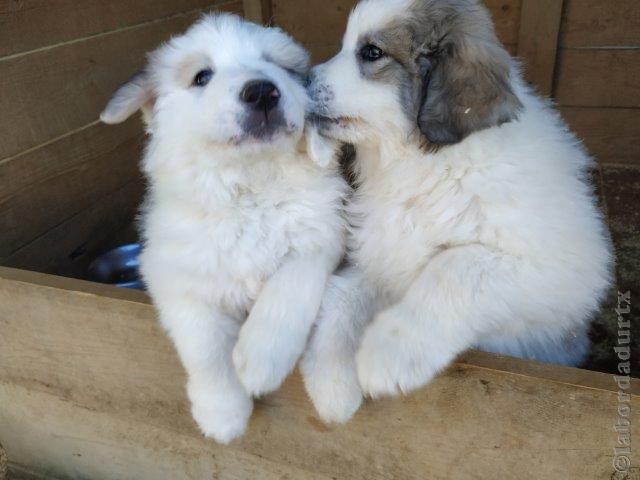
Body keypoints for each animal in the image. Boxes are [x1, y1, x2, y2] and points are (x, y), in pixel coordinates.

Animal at [100, 14, 348, 442]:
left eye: (278, 67)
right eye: (202, 76)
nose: (262, 91)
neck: (251, 187)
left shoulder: (322, 236)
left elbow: (287, 290)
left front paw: (260, 361)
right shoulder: (175, 277)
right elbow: (205, 347)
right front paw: (222, 414)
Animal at [302, 0, 612, 422]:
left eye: (372, 52)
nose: (298, 80)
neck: (425, 166)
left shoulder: (558, 273)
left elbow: (452, 268)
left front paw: (388, 355)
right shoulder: (383, 256)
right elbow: (341, 298)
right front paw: (331, 384)